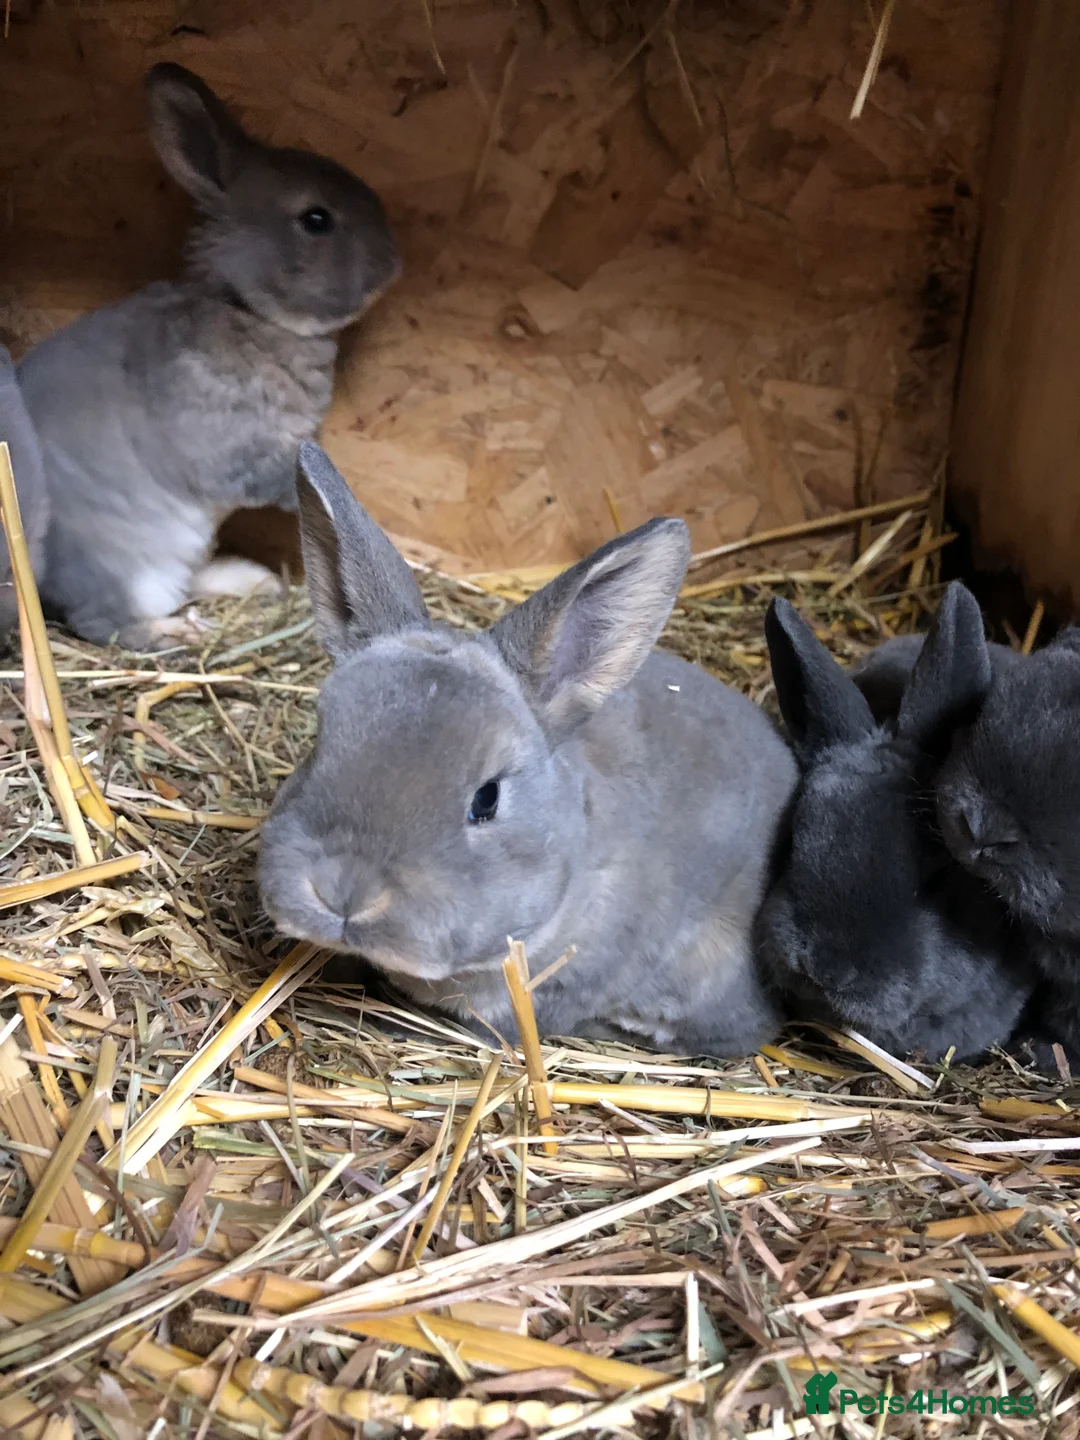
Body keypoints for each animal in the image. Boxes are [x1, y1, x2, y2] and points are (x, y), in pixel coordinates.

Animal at [17, 63, 399, 652]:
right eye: (316, 219)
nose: (392, 264)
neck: (249, 310)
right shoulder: (233, 450)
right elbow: (270, 476)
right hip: (124, 566)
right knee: (110, 622)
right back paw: (182, 631)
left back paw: (251, 580)